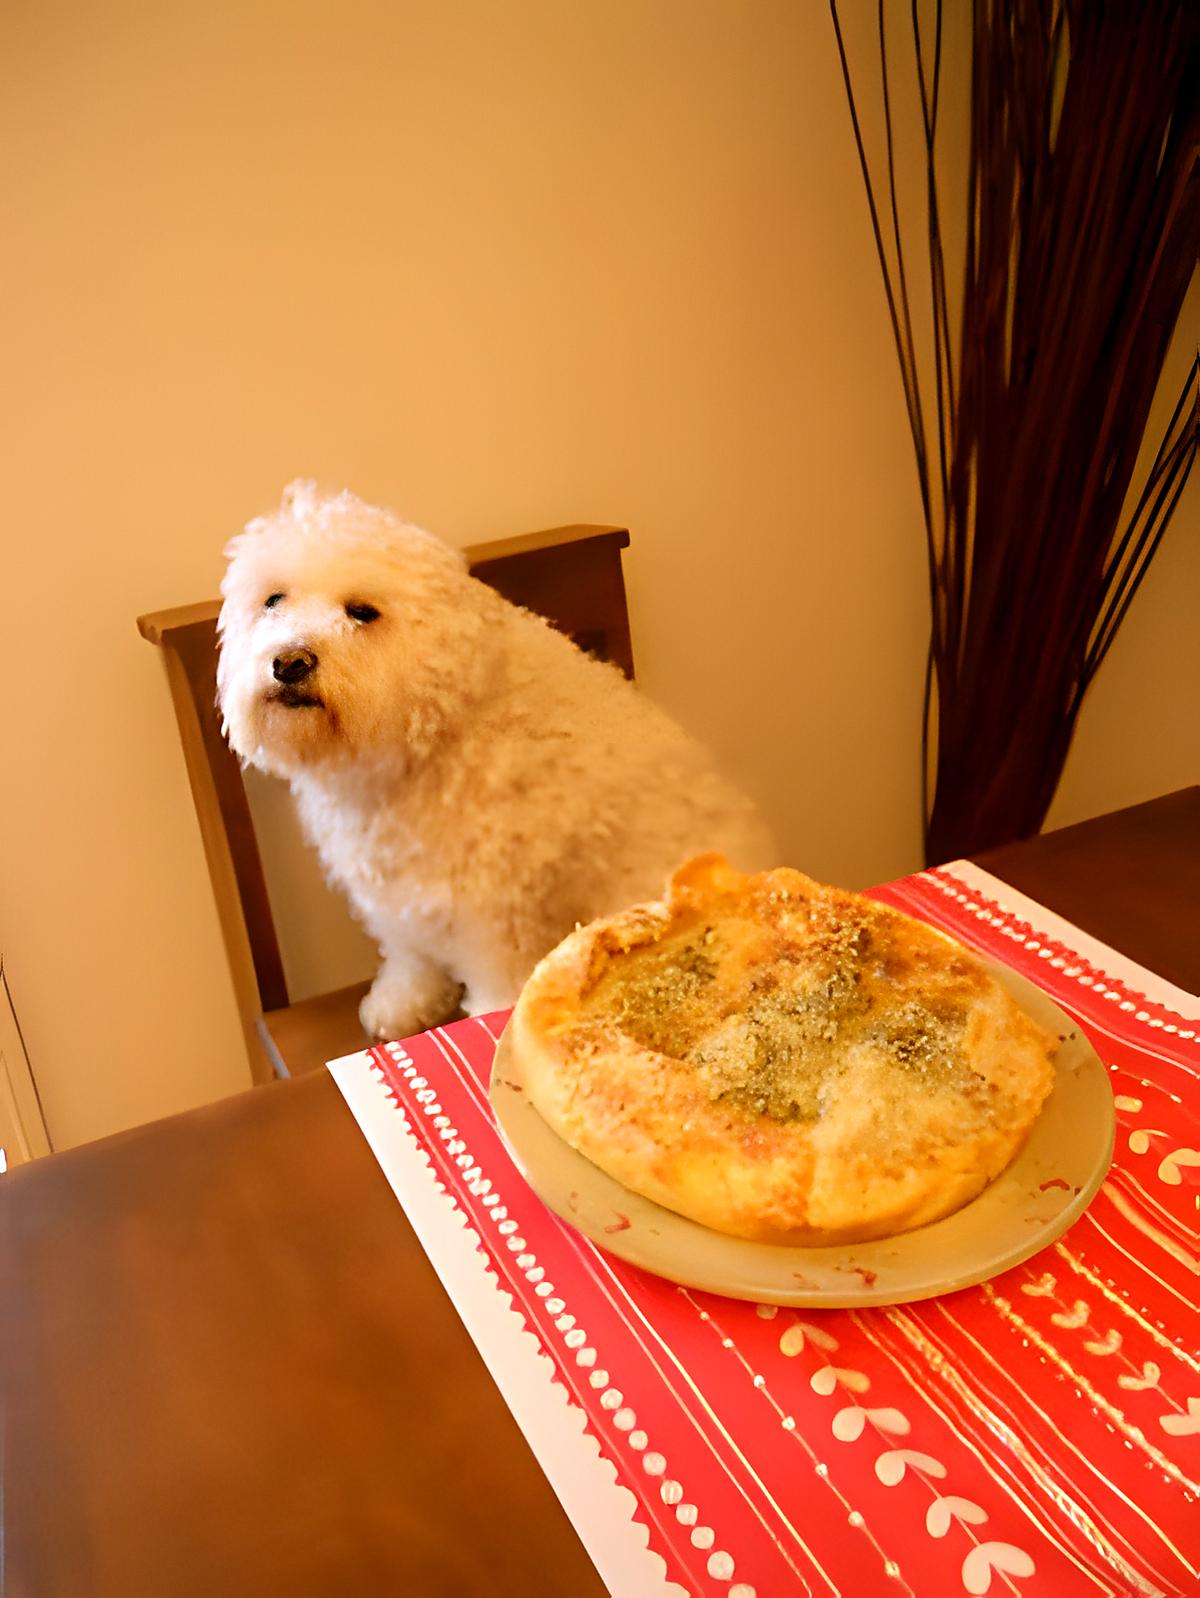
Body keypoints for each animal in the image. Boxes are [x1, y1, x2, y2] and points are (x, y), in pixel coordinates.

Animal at [218, 479, 773, 1041]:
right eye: (273, 600)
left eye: (362, 611)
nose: (289, 662)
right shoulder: (399, 900)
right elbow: (411, 961)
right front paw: (399, 1005)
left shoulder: (494, 919)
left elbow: (494, 991)